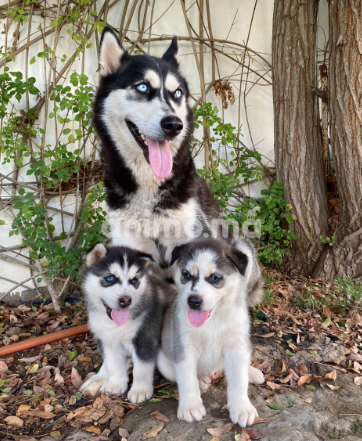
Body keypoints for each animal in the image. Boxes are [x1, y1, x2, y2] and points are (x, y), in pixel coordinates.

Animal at [79, 242, 175, 404]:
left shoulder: (145, 338)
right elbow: (113, 364)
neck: (115, 325)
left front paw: (139, 391)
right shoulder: (107, 340)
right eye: (110, 278)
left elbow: (141, 369)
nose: (125, 300)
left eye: (134, 280)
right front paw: (116, 384)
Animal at [93, 24, 264, 306]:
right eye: (142, 87)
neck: (150, 193)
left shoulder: (196, 241)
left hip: (241, 248)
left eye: (177, 94)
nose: (174, 125)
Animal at [158, 237, 260, 426]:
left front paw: (242, 407)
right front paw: (190, 406)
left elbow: (238, 379)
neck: (213, 321)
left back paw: (251, 371)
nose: (193, 301)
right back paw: (201, 381)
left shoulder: (236, 346)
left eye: (214, 277)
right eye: (186, 274)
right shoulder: (184, 346)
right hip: (163, 360)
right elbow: (187, 379)